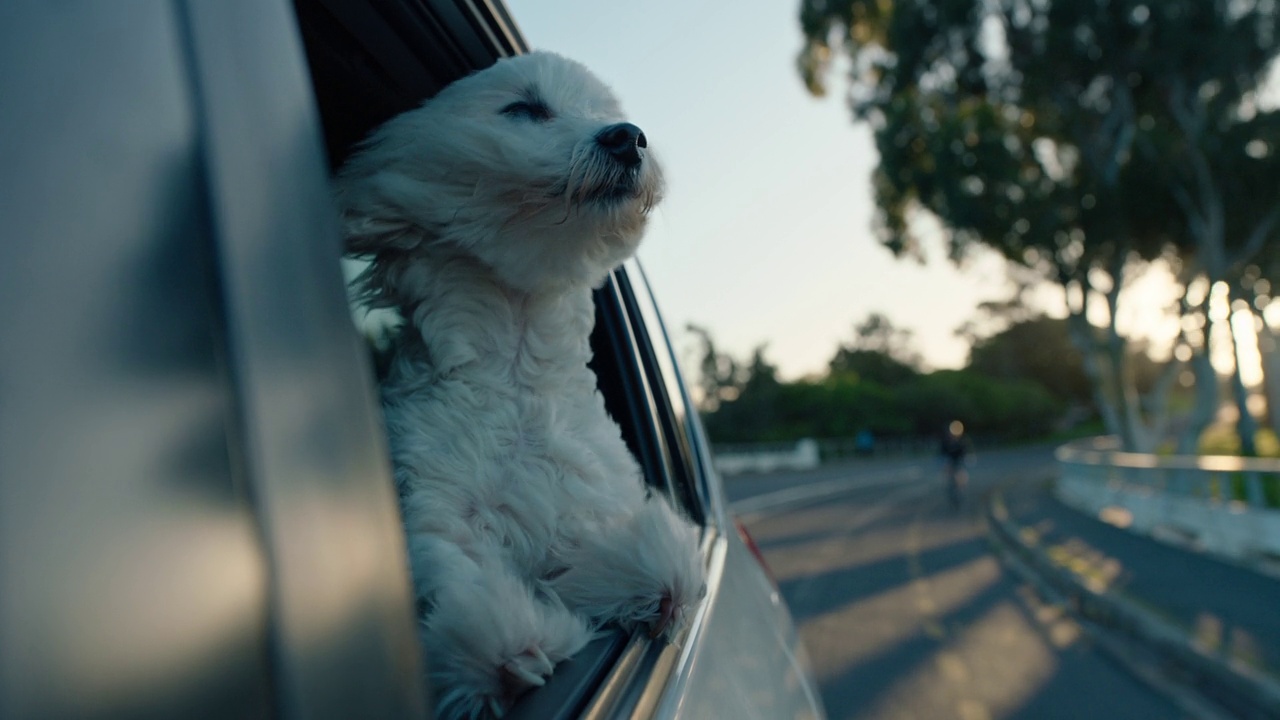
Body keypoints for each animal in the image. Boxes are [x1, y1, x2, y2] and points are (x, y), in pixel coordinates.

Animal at [335, 51, 706, 717]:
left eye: (605, 114)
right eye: (525, 109)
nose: (627, 136)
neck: (518, 371)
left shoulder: (587, 502)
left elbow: (609, 551)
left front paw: (648, 581)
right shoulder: (433, 504)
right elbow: (455, 566)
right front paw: (499, 648)